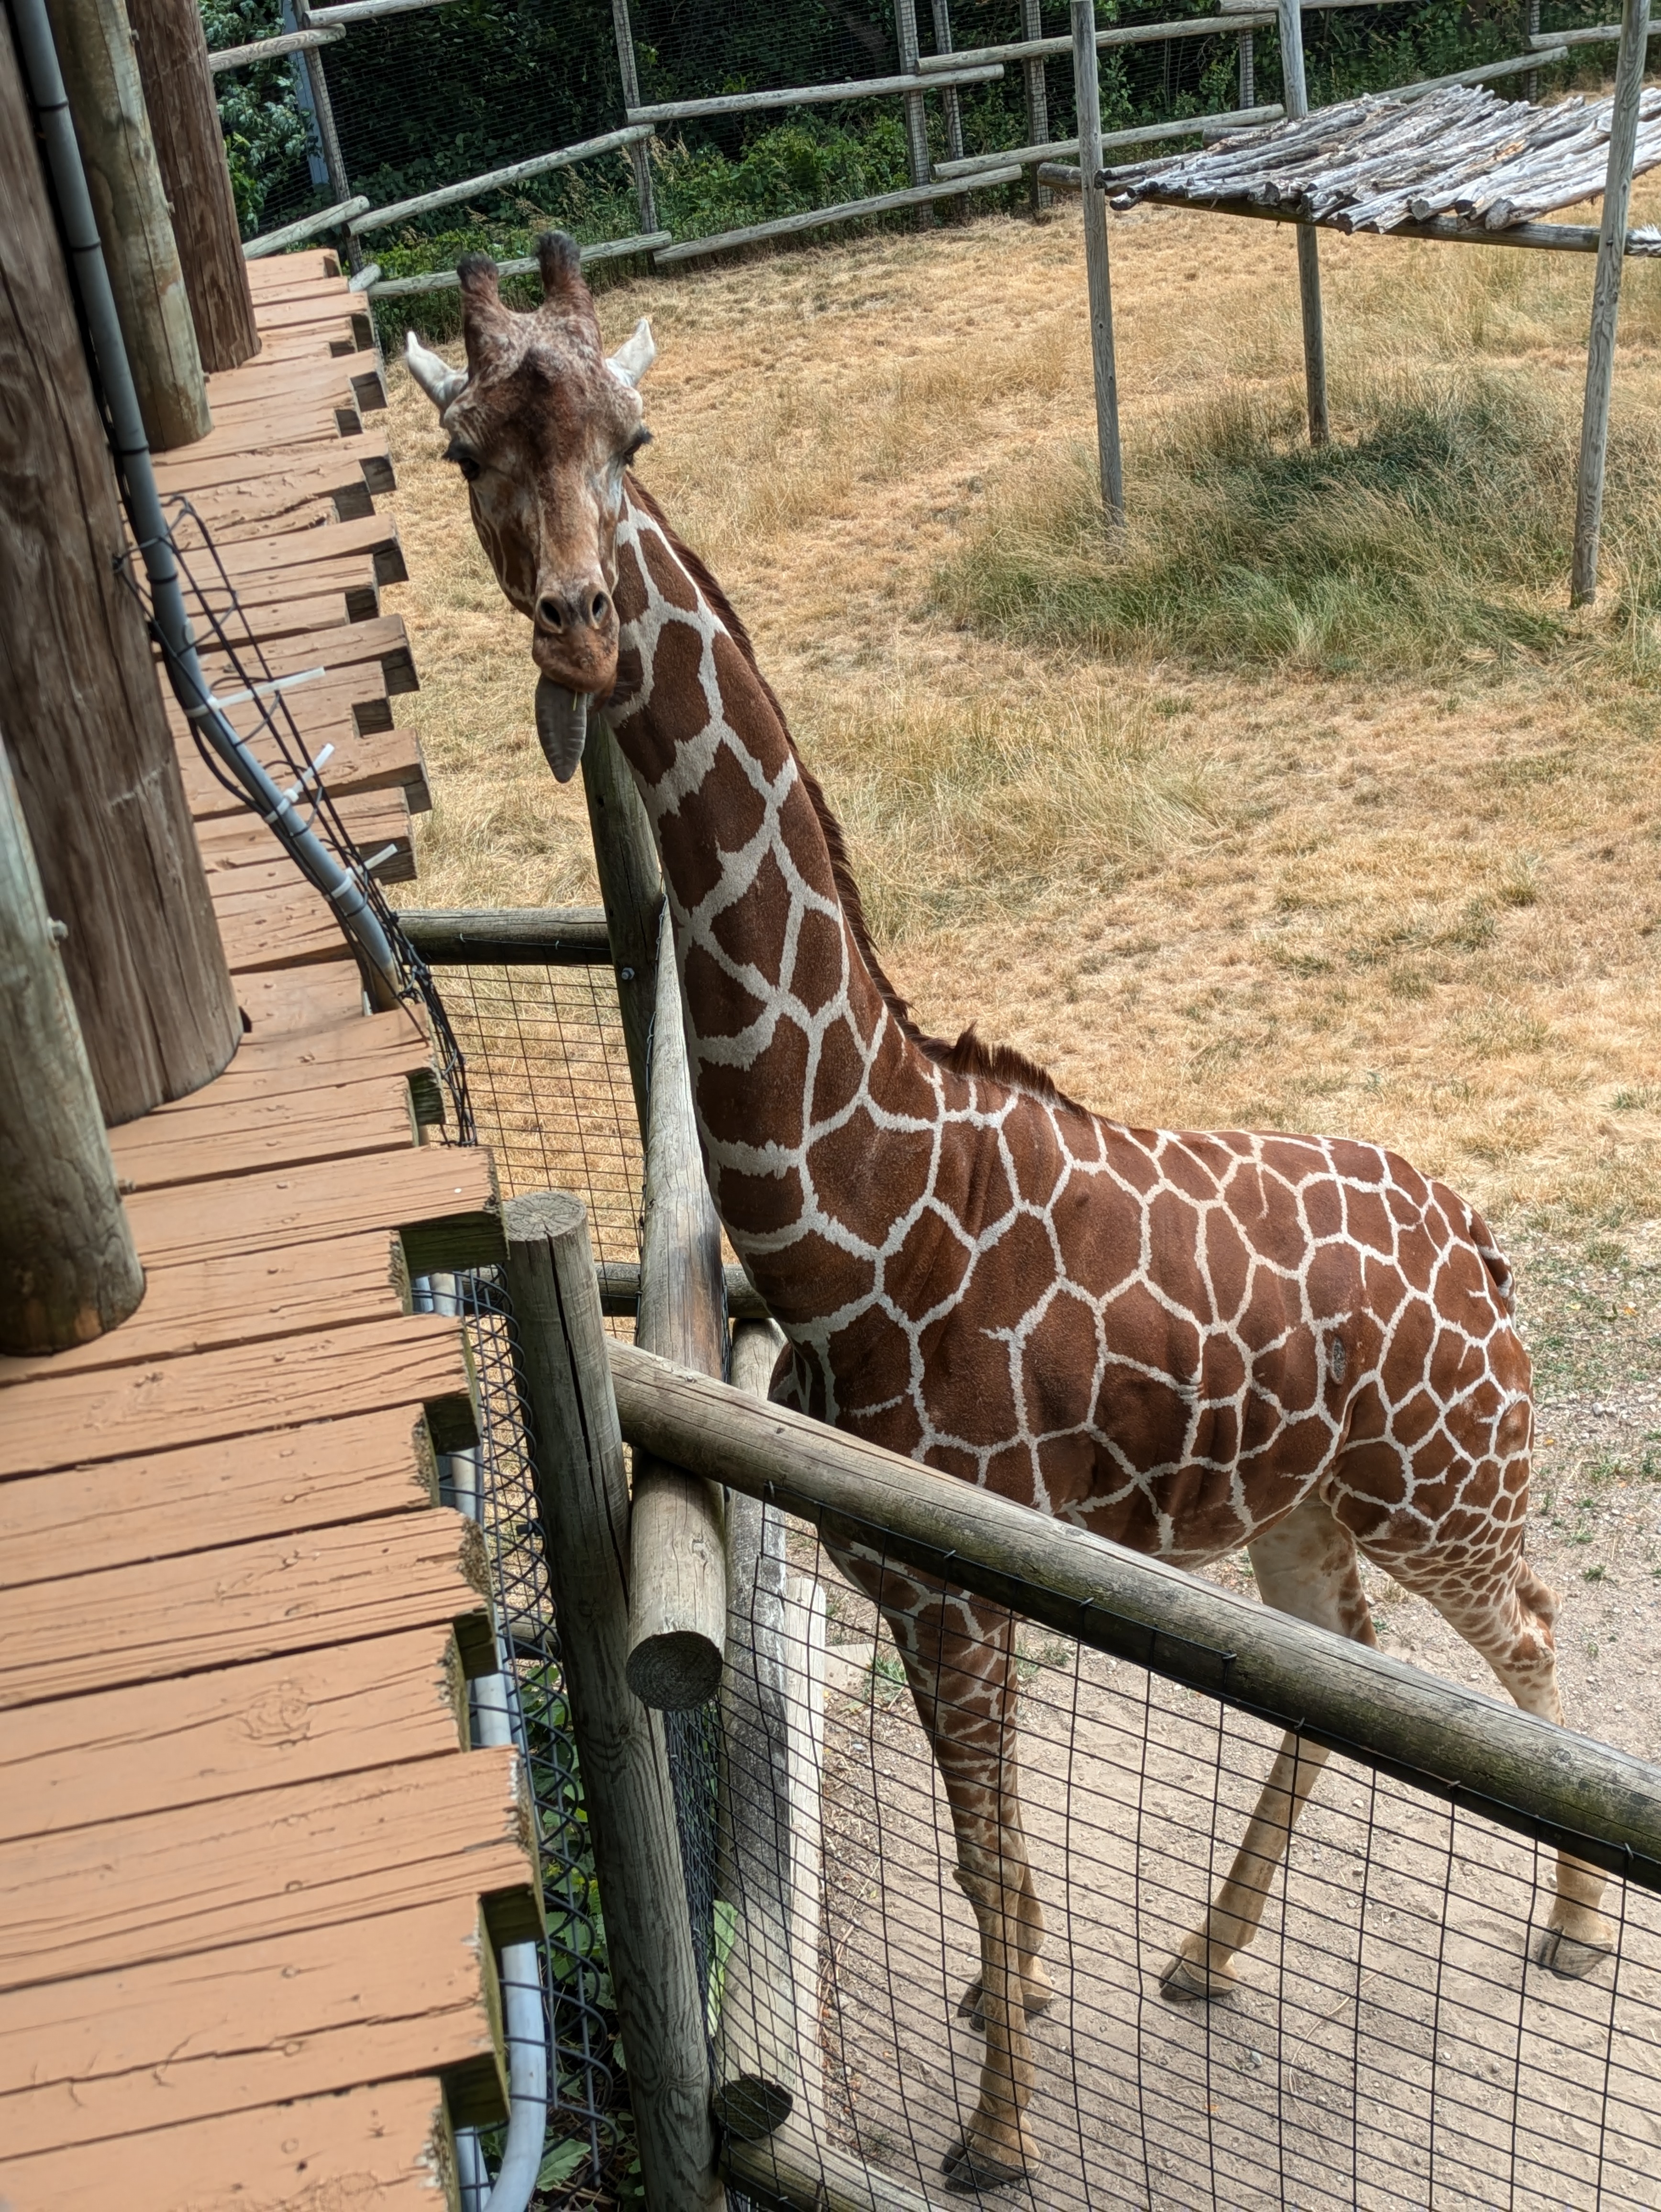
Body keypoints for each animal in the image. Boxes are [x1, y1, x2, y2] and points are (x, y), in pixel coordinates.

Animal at [406, 235, 1612, 2191]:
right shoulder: (911, 1585)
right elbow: (1002, 1856)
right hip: (1297, 1504)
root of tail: (1475, 1231)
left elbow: (985, 1849)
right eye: (465, 455)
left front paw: (993, 2129)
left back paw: (1570, 1928)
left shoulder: (964, 1598)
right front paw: (1018, 1996)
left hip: (1441, 1478)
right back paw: (1203, 1948)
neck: (855, 1220)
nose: (577, 621)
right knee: (1343, 1665)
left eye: (631, 435)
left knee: (1523, 1628)